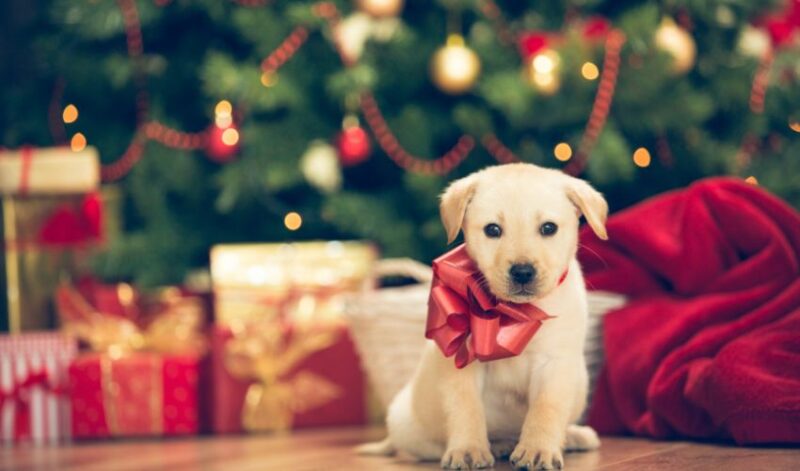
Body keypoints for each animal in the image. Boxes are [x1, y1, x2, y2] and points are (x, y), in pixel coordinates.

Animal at [360, 164, 604, 470]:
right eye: (492, 230)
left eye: (549, 228)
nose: (522, 272)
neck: (514, 312)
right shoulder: (461, 363)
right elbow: (466, 408)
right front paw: (468, 449)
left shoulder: (555, 365)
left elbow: (546, 410)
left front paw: (538, 449)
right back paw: (498, 445)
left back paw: (573, 436)